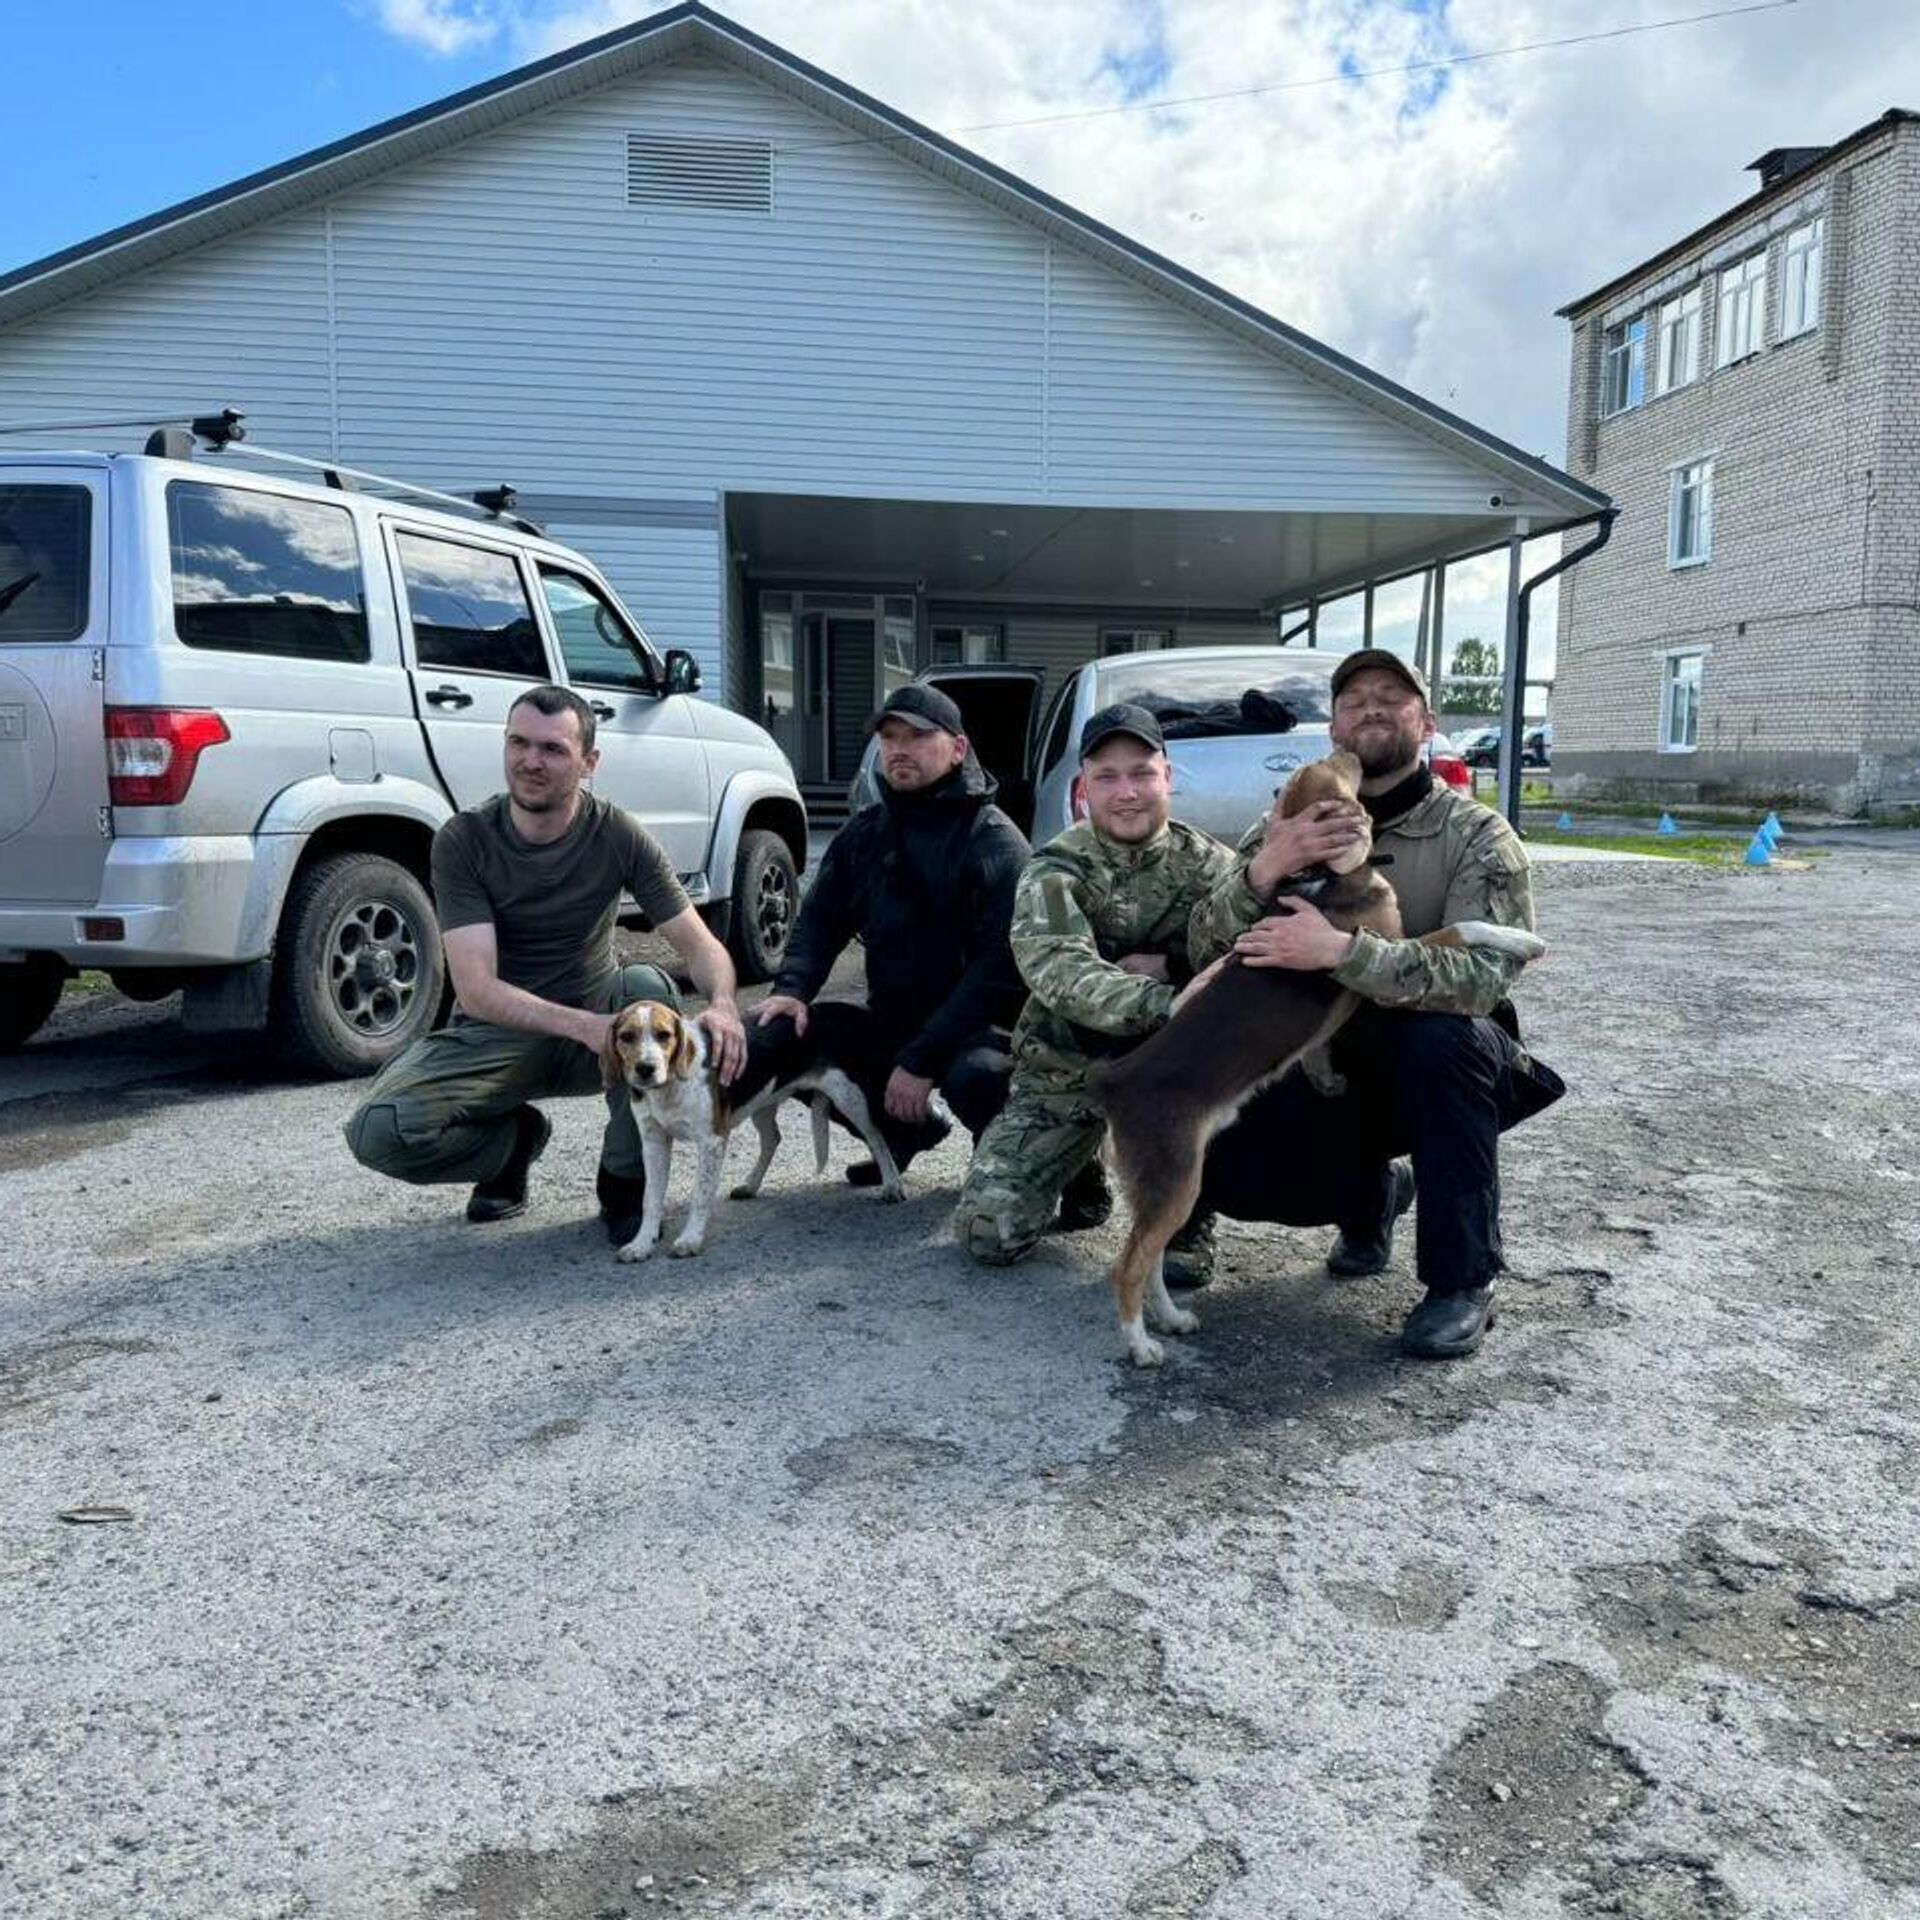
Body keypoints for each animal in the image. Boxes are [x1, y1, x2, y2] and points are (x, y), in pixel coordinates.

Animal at [599, 1006, 906, 1259]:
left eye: (664, 1035)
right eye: (627, 1036)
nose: (645, 1069)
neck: (669, 1087)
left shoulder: (711, 1142)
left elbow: (700, 1195)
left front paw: (690, 1239)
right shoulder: (654, 1143)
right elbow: (650, 1199)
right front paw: (642, 1244)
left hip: (850, 1098)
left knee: (877, 1138)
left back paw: (892, 1185)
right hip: (762, 1102)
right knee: (772, 1139)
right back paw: (751, 1185)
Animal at [1098, 748, 1543, 1367]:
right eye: (1334, 764)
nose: (1349, 748)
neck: (1318, 877)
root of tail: (1117, 1081)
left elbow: (1322, 1048)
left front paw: (1326, 1076)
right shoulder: (1395, 946)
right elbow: (1466, 926)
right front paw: (1523, 941)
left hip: (1171, 1185)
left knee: (1152, 1260)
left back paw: (1172, 1319)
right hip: (1173, 1180)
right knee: (1128, 1266)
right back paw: (1141, 1345)